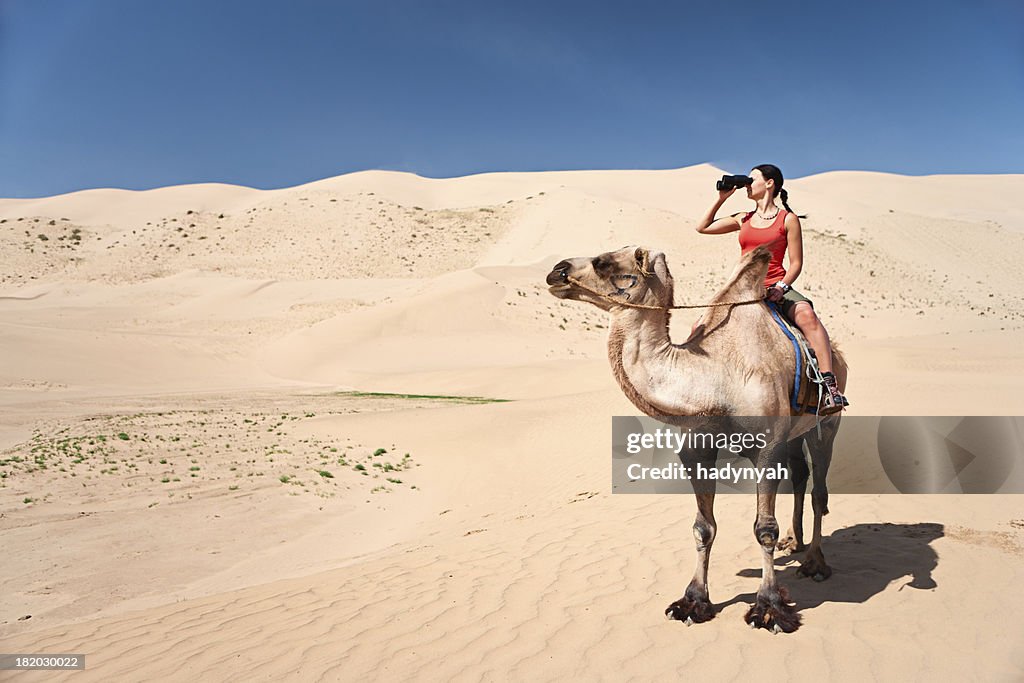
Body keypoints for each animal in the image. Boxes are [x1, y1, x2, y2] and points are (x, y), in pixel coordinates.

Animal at [548, 242, 843, 634]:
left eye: (603, 261)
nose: (556, 270)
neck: (715, 376)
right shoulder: (698, 451)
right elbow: (703, 528)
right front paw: (692, 601)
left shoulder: (767, 448)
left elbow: (764, 528)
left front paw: (769, 608)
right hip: (796, 433)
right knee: (800, 475)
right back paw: (794, 543)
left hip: (829, 423)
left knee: (819, 490)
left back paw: (815, 563)